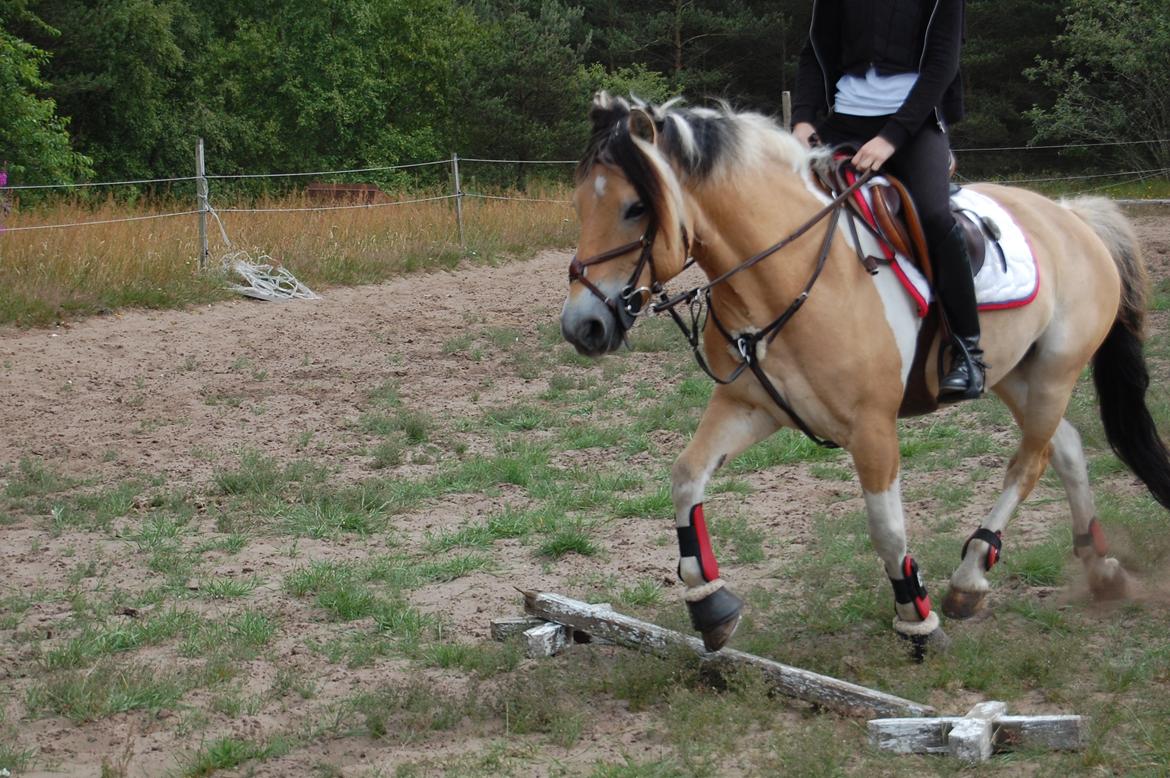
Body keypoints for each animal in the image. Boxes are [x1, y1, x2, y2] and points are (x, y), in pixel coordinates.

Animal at [556, 92, 1170, 655]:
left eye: (636, 208)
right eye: (581, 205)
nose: (582, 326)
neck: (792, 274)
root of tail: (1072, 214)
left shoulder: (872, 427)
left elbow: (886, 527)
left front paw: (916, 618)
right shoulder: (748, 407)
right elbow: (686, 477)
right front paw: (709, 603)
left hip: (1052, 375)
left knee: (1030, 462)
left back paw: (971, 575)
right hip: (1014, 375)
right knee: (1064, 447)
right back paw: (1099, 567)